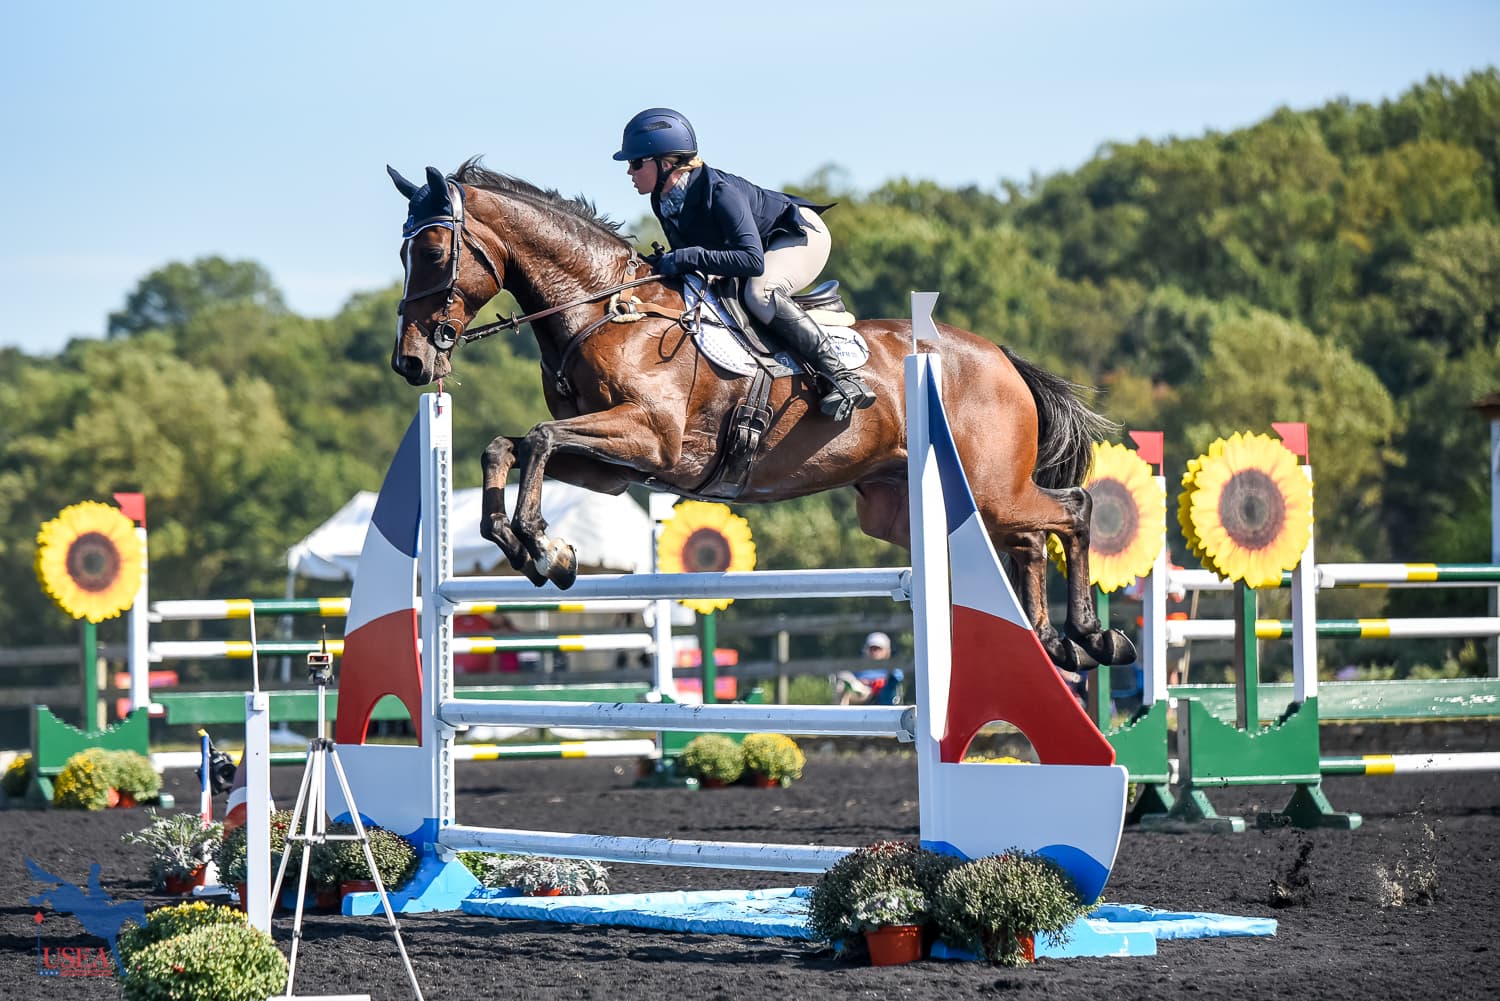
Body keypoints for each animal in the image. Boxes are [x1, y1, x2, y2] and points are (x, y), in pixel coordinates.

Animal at [386, 161, 1134, 670]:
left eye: (431, 251)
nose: (412, 363)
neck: (606, 310)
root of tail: (1000, 357)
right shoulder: (612, 466)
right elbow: (506, 446)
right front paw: (534, 549)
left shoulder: (651, 440)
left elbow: (538, 438)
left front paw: (543, 544)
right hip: (907, 508)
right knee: (1030, 538)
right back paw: (1052, 641)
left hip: (989, 488)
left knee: (1073, 509)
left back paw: (1095, 636)